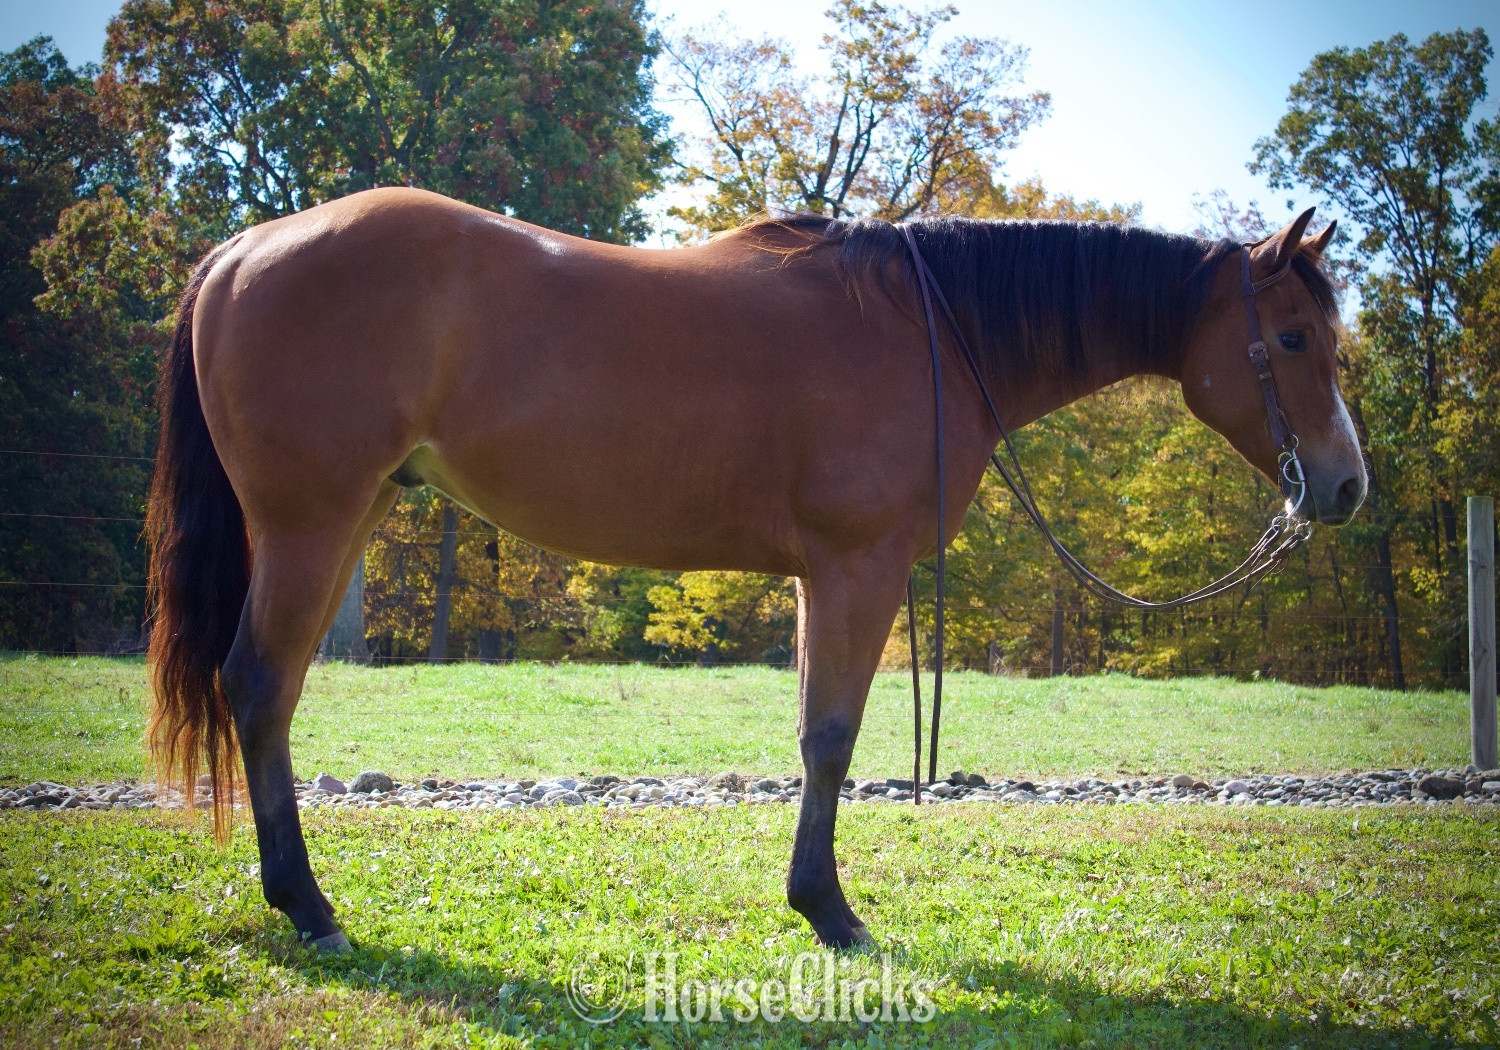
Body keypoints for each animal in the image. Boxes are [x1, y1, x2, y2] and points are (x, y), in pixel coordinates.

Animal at [146, 189, 1364, 950]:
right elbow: (831, 738)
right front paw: (829, 908)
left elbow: (813, 736)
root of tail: (241, 251)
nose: (1345, 487)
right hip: (309, 524)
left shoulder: (820, 578)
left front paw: (814, 898)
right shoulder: (858, 568)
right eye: (1293, 339)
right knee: (261, 686)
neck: (936, 327)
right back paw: (308, 906)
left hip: (344, 519)